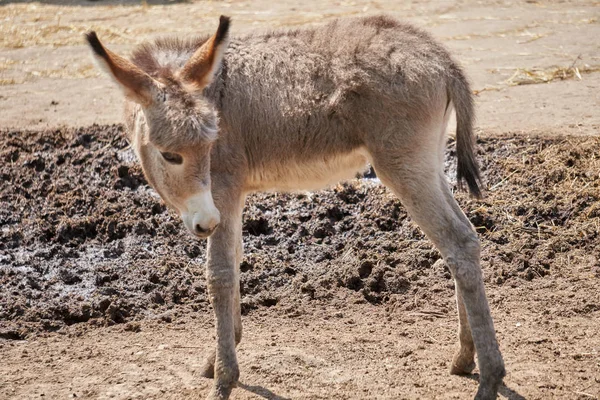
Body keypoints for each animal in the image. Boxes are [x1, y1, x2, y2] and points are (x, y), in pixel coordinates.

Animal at [85, 14, 506, 398]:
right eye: (171, 155)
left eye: (207, 145)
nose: (204, 223)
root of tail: (440, 56)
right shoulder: (230, 198)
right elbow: (235, 258)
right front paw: (221, 353)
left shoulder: (223, 187)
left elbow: (219, 273)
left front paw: (224, 378)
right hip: (427, 161)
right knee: (466, 239)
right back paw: (464, 358)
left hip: (402, 165)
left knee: (456, 242)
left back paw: (490, 377)